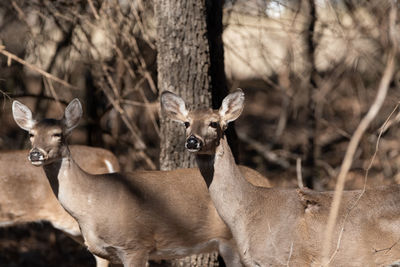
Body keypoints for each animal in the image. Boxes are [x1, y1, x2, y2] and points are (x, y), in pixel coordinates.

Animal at [11, 99, 272, 267]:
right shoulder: (104, 253)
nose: (35, 154)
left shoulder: (135, 245)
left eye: (58, 134)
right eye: (31, 134)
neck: (92, 202)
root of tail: (266, 181)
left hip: (234, 242)